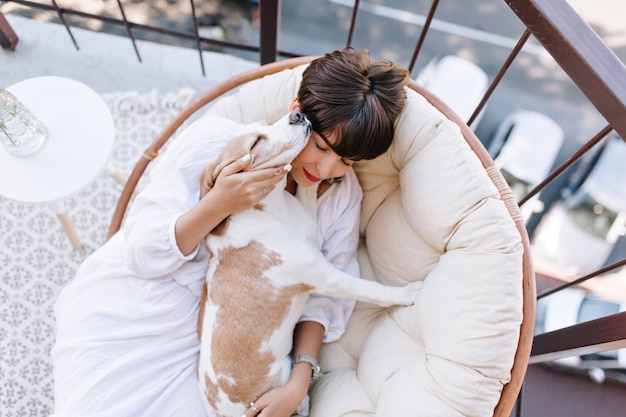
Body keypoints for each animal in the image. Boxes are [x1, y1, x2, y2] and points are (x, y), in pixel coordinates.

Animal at [195, 110, 420, 416]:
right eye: (256, 142)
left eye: (263, 126)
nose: (297, 115)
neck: (273, 209)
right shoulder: (326, 277)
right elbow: (372, 289)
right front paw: (407, 293)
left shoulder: (309, 221)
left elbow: (307, 190)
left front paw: (318, 180)